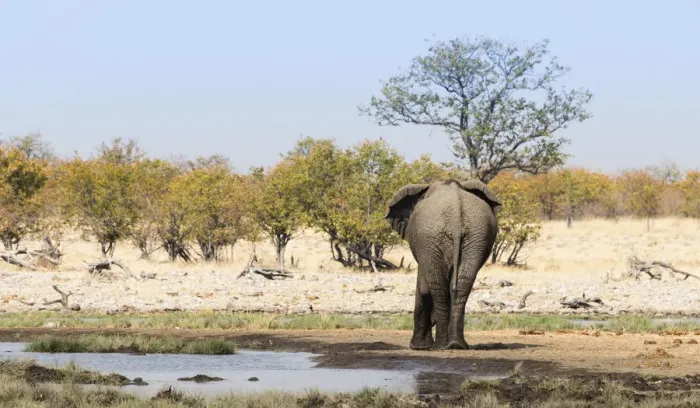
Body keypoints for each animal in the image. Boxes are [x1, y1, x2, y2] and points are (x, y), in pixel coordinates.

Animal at [385, 179, 501, 350]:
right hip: (477, 236)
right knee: (463, 284)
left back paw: (439, 346)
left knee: (437, 286)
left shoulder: (424, 248)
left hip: (431, 238)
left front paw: (418, 347)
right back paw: (456, 344)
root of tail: (456, 219)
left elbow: (423, 288)